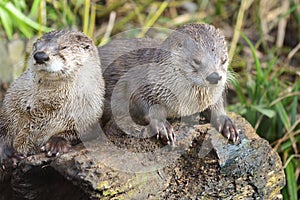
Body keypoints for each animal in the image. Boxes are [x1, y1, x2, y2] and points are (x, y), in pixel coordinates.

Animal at [0, 30, 105, 164]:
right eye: (36, 46)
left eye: (63, 47)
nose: (40, 56)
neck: (46, 107)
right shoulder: (9, 106)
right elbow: (3, 130)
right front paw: (9, 155)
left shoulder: (90, 116)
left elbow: (76, 133)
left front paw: (56, 144)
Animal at [101, 23, 239, 144]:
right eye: (196, 61)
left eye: (224, 60)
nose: (214, 76)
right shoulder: (144, 86)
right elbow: (143, 103)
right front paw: (163, 127)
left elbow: (216, 105)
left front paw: (227, 124)